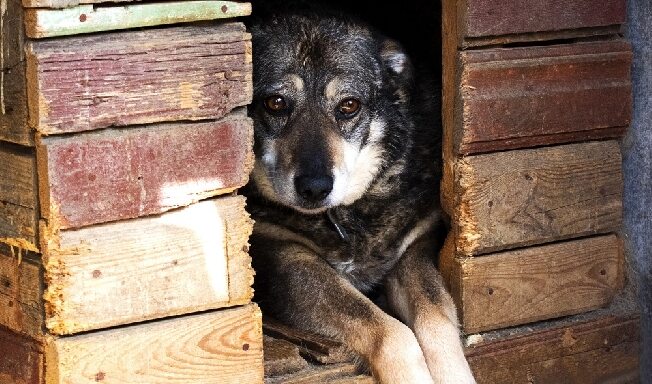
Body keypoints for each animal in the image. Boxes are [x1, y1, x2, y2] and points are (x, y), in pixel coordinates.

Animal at [243, 10, 474, 382]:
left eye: (349, 106)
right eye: (275, 103)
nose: (315, 187)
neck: (347, 216)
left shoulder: (413, 251)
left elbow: (436, 320)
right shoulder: (287, 260)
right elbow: (391, 332)